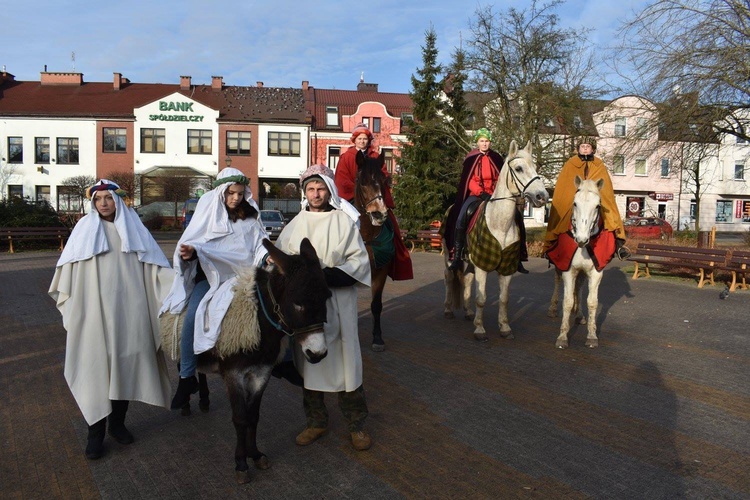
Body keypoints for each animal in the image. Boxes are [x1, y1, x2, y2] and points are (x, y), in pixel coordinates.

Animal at [444, 141, 548, 344]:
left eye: (535, 167)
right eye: (519, 168)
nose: (542, 196)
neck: (500, 224)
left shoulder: (505, 269)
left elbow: (504, 299)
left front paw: (505, 328)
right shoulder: (482, 266)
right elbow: (481, 298)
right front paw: (479, 329)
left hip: (470, 262)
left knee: (467, 279)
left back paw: (468, 312)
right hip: (449, 257)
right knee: (449, 277)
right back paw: (448, 310)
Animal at [548, 178, 608, 350]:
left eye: (598, 206)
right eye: (575, 203)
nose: (581, 239)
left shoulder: (595, 272)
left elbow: (592, 302)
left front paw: (592, 335)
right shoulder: (568, 269)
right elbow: (567, 302)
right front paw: (562, 337)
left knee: (579, 288)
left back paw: (580, 314)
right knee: (557, 280)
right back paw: (553, 309)